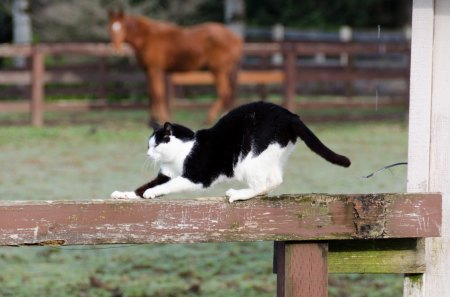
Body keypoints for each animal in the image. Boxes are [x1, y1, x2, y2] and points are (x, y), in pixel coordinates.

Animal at [108, 10, 243, 123]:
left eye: (123, 28)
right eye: (110, 28)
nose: (116, 49)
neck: (147, 38)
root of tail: (237, 38)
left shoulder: (155, 70)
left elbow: (158, 94)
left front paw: (162, 118)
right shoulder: (148, 72)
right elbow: (151, 94)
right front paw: (152, 120)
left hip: (218, 70)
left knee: (224, 92)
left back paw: (210, 118)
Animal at [110, 102, 350, 201]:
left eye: (155, 145)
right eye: (148, 145)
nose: (148, 154)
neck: (181, 153)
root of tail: (290, 115)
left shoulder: (196, 177)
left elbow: (168, 185)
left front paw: (152, 193)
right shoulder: (166, 174)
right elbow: (143, 187)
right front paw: (124, 194)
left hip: (250, 159)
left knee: (264, 182)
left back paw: (238, 194)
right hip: (274, 154)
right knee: (275, 179)